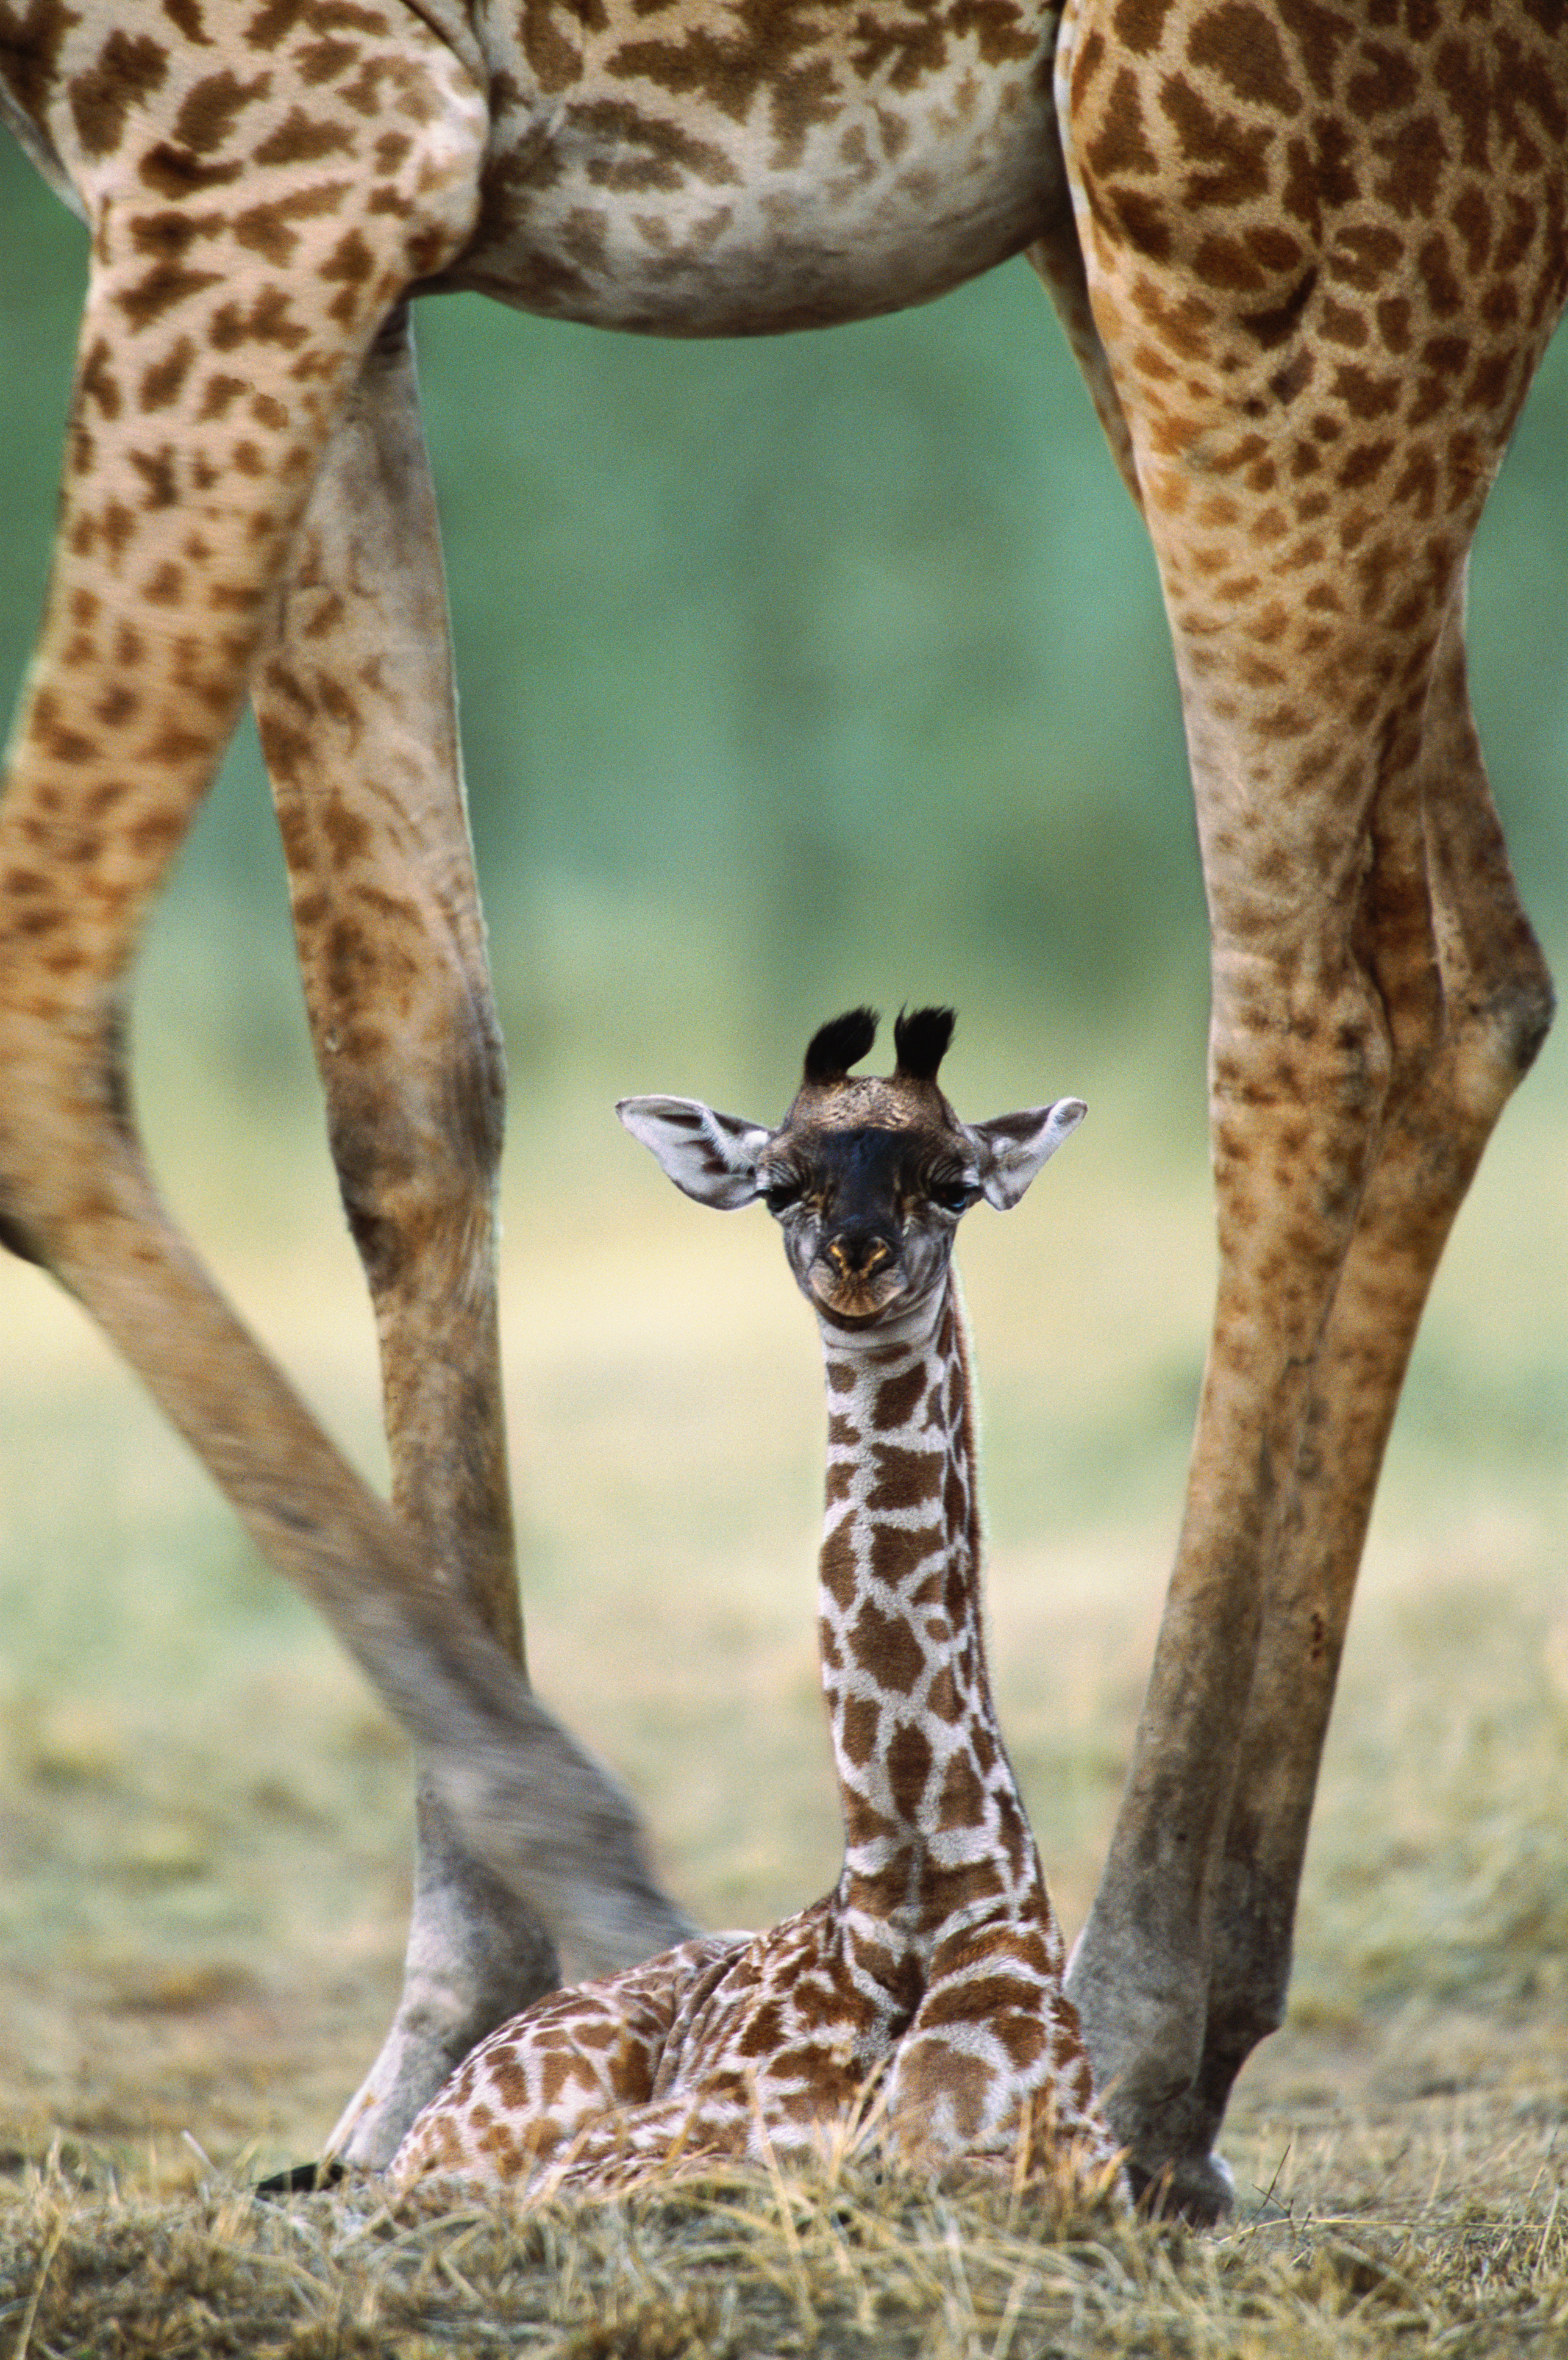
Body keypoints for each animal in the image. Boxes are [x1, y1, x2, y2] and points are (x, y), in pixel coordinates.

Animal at [390, 1006, 1121, 2203]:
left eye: (955, 1183)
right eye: (779, 1186)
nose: (856, 1258)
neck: (908, 1898)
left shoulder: (1071, 2159)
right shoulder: (643, 2151)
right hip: (472, 2134)